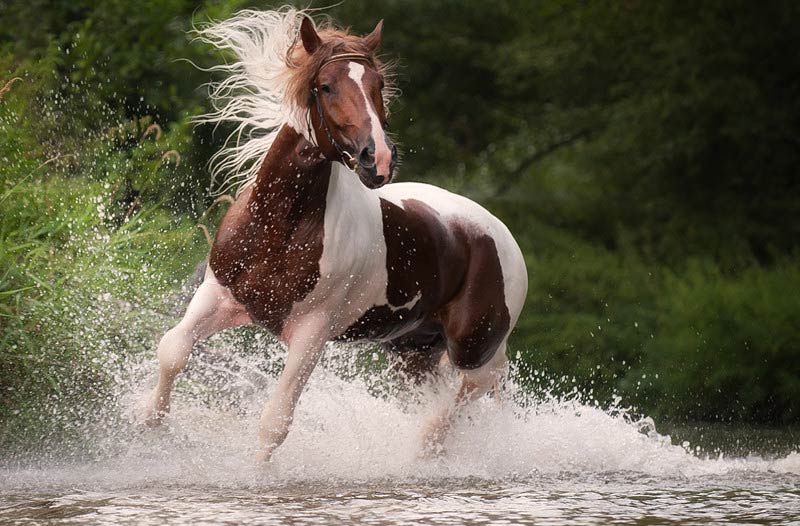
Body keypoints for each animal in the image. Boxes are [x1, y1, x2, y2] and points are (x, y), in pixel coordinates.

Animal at [141, 7, 528, 462]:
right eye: (325, 86)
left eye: (379, 85)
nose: (378, 159)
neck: (279, 227)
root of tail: (500, 234)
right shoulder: (218, 295)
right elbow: (173, 350)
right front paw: (148, 424)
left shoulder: (312, 333)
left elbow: (275, 421)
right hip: (412, 352)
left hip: (474, 347)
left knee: (477, 386)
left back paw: (427, 446)